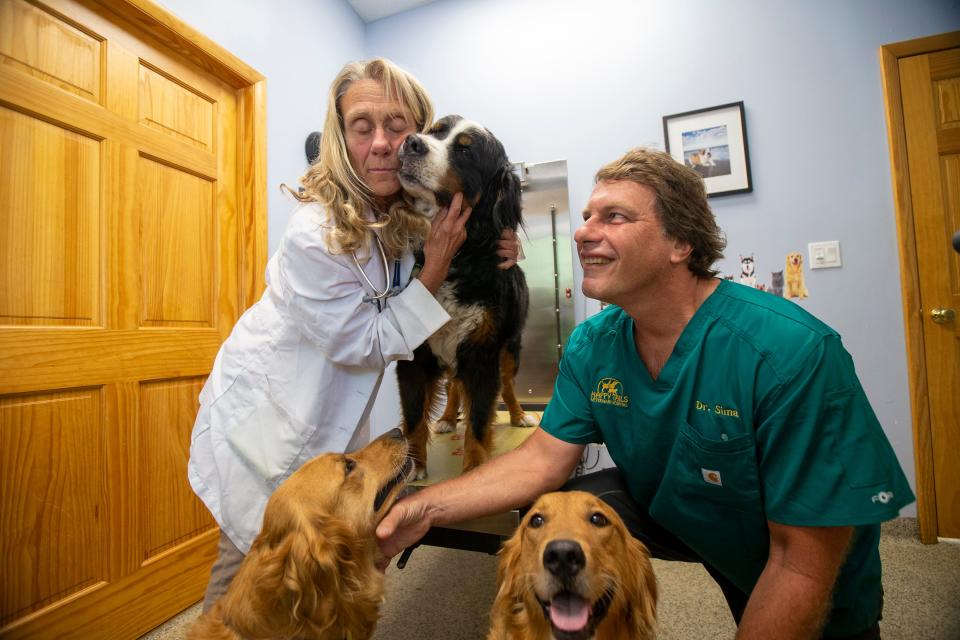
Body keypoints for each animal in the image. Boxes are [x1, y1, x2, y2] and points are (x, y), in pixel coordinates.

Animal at [398, 115, 532, 478]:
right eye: (435, 131)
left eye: (465, 151)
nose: (411, 142)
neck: (459, 256)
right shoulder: (415, 355)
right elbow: (414, 417)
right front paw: (414, 466)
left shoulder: (482, 354)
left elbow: (479, 420)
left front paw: (473, 470)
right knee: (453, 387)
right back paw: (446, 419)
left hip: (510, 349)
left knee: (508, 386)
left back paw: (519, 415)